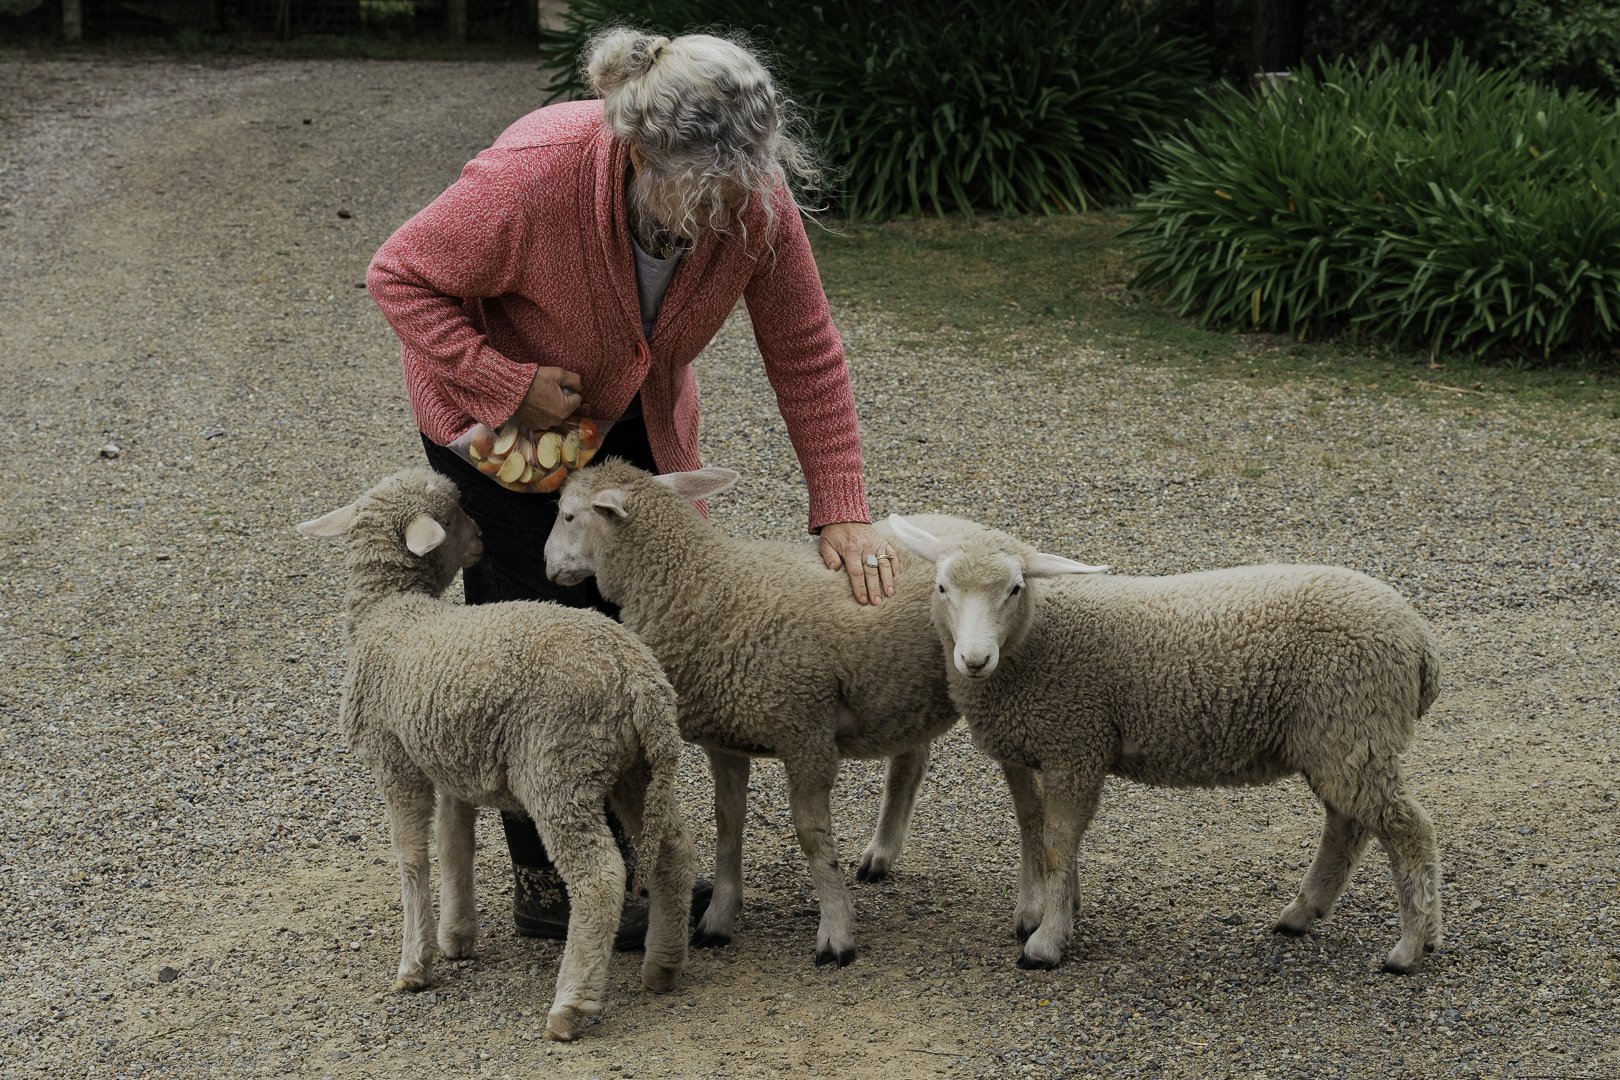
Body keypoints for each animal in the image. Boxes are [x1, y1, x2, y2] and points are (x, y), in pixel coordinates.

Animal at [296, 467, 695, 1041]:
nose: (483, 536)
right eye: (454, 513)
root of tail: (639, 678)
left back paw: (570, 1006)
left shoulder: (396, 762)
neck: (391, 609)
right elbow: (454, 843)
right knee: (672, 851)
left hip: (559, 768)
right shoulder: (446, 759)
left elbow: (412, 859)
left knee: (601, 876)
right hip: (636, 768)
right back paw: (663, 964)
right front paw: (455, 936)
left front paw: (414, 964)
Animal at [542, 460, 967, 967]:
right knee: (910, 759)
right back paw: (881, 852)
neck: (702, 586)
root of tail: (969, 524)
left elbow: (812, 838)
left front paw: (836, 933)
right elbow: (728, 827)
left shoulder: (806, 734)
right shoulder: (725, 741)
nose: (546, 565)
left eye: (568, 515)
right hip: (902, 692)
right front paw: (718, 920)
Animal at [888, 515, 1444, 975]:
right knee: (1347, 826)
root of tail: (1420, 642)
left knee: (1408, 829)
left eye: (1015, 588)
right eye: (942, 586)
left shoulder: (1077, 744)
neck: (1034, 643)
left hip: (1352, 726)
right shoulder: (1030, 748)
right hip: (1339, 738)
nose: (974, 659)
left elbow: (1058, 841)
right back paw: (1304, 914)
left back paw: (1410, 947)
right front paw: (1043, 910)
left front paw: (1047, 941)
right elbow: (1032, 830)